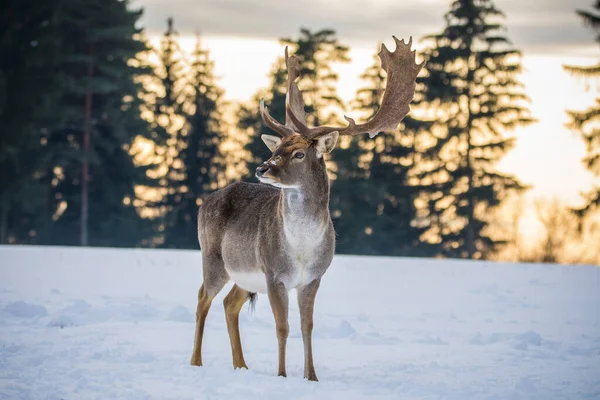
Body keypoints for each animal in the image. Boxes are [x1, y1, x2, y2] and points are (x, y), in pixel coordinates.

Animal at [190, 36, 424, 382]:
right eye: (277, 147)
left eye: (299, 153)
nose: (262, 168)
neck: (301, 248)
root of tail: (205, 202)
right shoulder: (274, 274)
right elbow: (282, 327)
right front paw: (282, 375)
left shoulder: (313, 277)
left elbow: (307, 326)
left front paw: (311, 376)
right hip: (213, 256)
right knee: (202, 298)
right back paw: (196, 362)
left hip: (245, 275)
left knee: (230, 303)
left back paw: (241, 365)